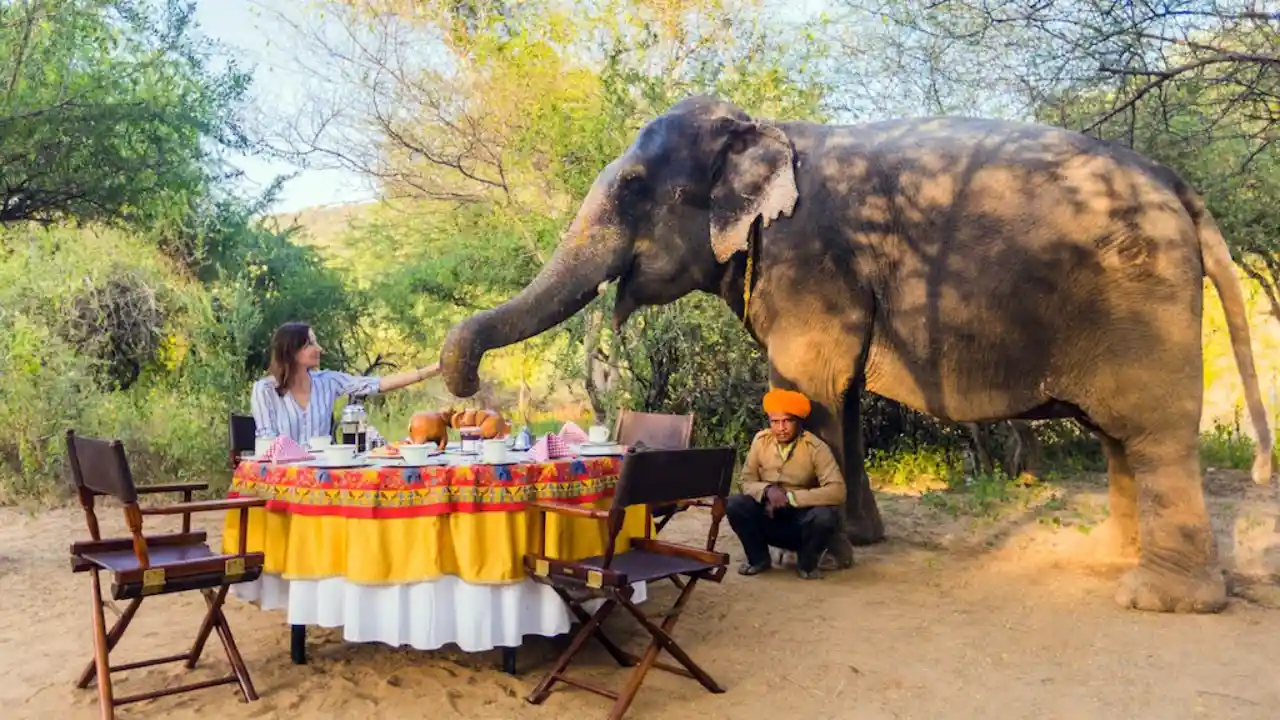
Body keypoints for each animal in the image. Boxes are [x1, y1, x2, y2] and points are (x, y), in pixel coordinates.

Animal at [440, 94, 1274, 613]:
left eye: (637, 186)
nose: (466, 385)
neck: (764, 127)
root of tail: (1179, 186)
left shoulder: (809, 255)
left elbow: (812, 378)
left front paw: (828, 558)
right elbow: (835, 394)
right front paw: (864, 542)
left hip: (1142, 303)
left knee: (1152, 433)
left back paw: (1157, 600)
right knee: (1118, 439)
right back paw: (1106, 559)